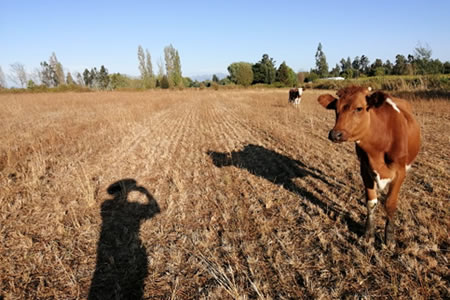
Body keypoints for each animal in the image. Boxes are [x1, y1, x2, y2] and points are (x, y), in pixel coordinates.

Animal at [318, 85, 420, 247]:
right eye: (335, 108)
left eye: (359, 108)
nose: (335, 134)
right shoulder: (365, 169)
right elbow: (371, 202)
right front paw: (368, 234)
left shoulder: (399, 172)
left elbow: (390, 203)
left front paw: (389, 238)